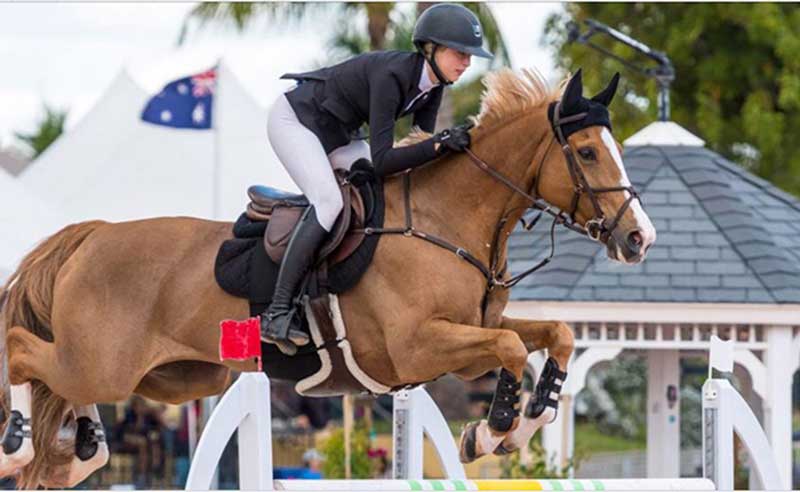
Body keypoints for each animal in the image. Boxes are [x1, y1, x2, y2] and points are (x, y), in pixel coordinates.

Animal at [0, 68, 656, 488]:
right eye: (589, 153)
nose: (639, 238)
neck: (445, 221)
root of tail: (91, 234)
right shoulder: (417, 347)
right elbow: (512, 347)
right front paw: (494, 432)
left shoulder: (467, 336)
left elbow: (549, 336)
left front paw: (524, 421)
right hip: (107, 362)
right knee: (20, 350)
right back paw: (20, 445)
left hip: (174, 377)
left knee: (64, 384)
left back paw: (80, 452)